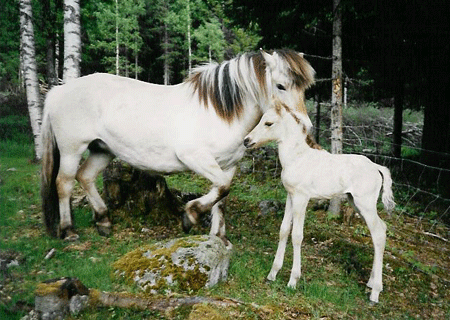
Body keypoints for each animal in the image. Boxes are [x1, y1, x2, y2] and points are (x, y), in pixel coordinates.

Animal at [41, 48, 316, 241]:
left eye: (305, 89)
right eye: (280, 86)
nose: (306, 126)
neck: (220, 112)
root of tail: (57, 91)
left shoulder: (228, 165)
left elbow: (222, 194)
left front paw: (218, 236)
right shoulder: (194, 157)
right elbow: (221, 188)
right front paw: (191, 216)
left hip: (102, 150)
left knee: (85, 177)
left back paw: (103, 221)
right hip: (72, 149)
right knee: (64, 183)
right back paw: (68, 231)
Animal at [244, 102, 396, 302]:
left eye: (268, 123)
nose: (246, 141)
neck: (297, 158)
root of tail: (376, 167)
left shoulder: (302, 197)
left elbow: (297, 236)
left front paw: (293, 281)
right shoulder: (290, 196)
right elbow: (284, 230)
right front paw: (272, 274)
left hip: (365, 204)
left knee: (378, 233)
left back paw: (375, 293)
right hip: (355, 203)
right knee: (382, 230)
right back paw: (370, 283)